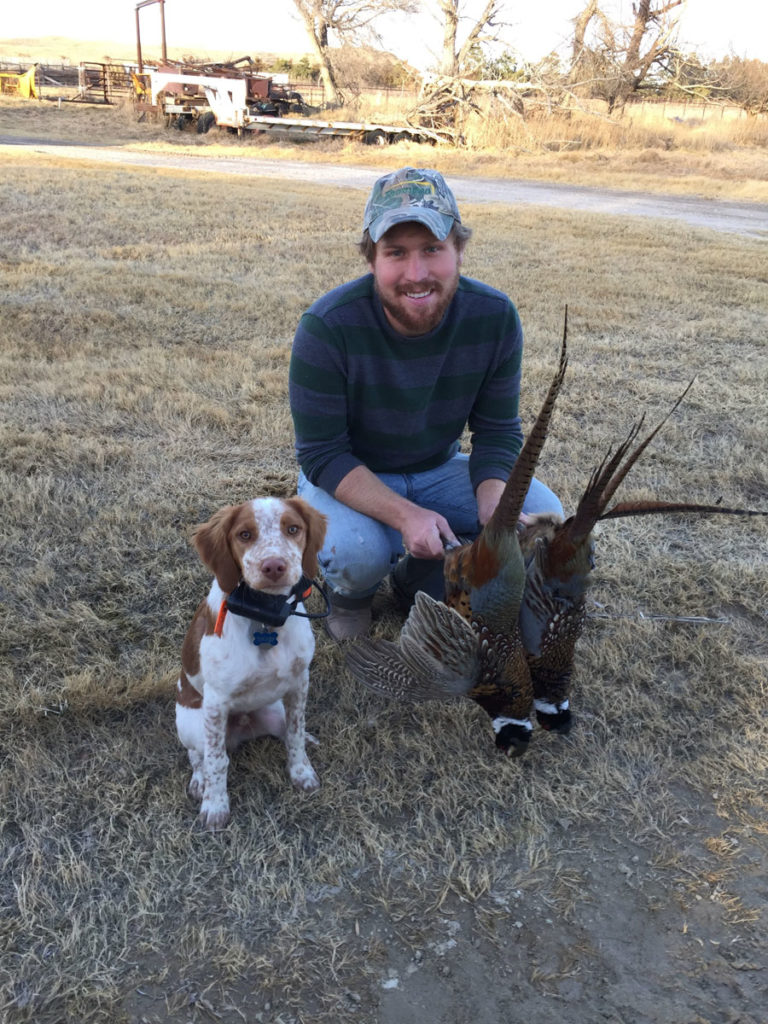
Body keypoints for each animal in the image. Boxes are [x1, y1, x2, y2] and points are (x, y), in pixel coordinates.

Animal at [176, 497, 325, 831]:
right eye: (244, 535)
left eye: (293, 529)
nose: (274, 566)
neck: (263, 616)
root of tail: (244, 725)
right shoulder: (215, 703)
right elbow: (217, 761)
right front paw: (215, 806)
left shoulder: (299, 682)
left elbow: (295, 733)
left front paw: (302, 772)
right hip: (191, 724)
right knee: (197, 755)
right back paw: (199, 781)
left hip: (274, 710)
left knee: (285, 730)